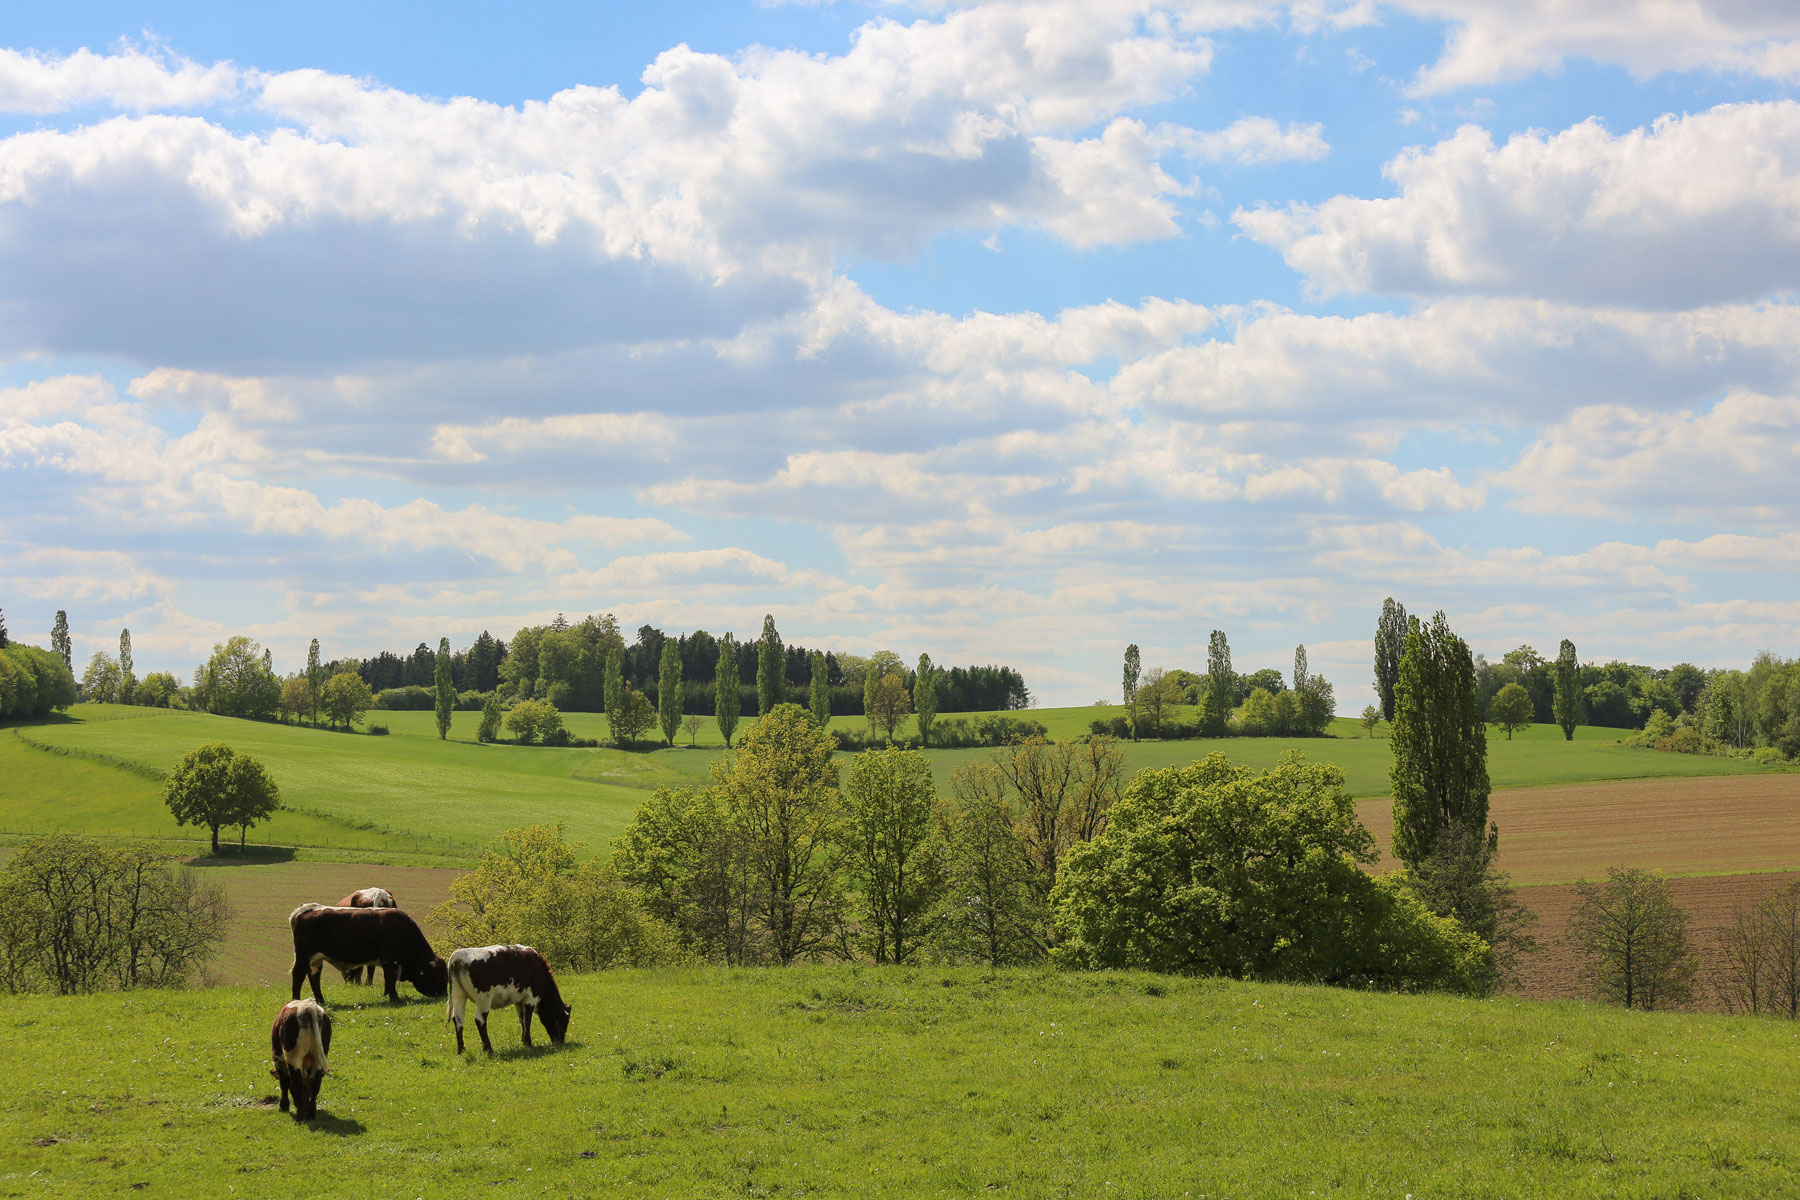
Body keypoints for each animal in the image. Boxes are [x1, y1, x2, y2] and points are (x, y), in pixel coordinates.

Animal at [288, 906, 446, 1007]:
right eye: (438, 977)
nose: (444, 996)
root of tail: (306, 910)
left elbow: (389, 980)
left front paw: (386, 995)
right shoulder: (389, 959)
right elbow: (390, 978)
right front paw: (394, 998)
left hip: (316, 959)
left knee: (314, 978)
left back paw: (321, 1001)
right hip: (303, 956)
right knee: (298, 975)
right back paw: (296, 999)